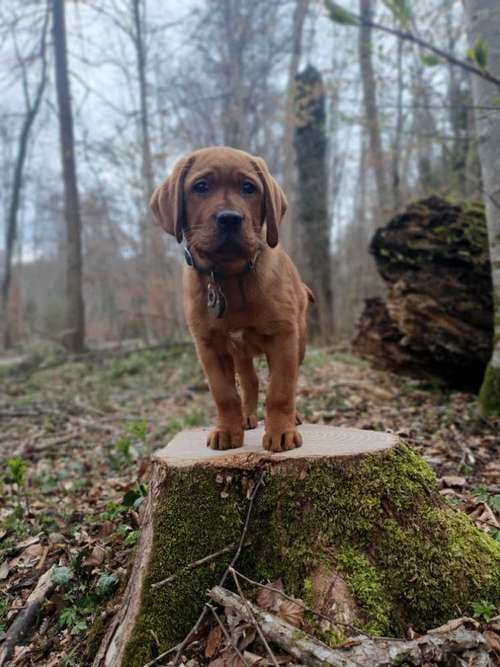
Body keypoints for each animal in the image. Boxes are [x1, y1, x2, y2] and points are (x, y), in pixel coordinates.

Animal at [150, 147, 312, 454]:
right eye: (201, 186)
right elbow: (224, 393)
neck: (228, 275)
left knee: (287, 379)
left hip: (299, 341)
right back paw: (247, 417)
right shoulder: (209, 345)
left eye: (249, 188)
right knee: (250, 382)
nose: (230, 218)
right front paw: (227, 430)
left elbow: (281, 389)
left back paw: (292, 417)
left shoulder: (284, 337)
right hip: (240, 353)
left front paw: (281, 432)